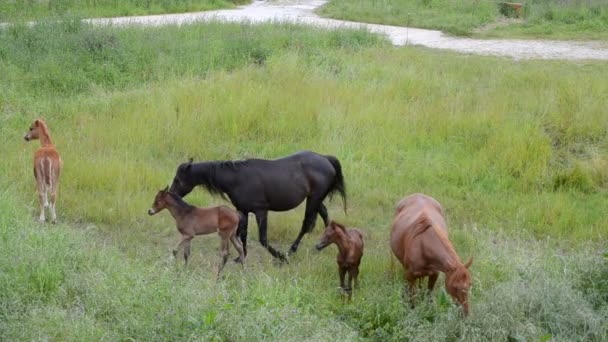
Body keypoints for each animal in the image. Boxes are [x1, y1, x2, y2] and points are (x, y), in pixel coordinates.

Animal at [169, 151, 344, 260]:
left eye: (178, 179)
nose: (171, 194)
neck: (237, 179)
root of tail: (325, 159)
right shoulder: (243, 211)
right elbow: (242, 234)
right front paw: (241, 257)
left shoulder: (261, 211)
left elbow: (263, 239)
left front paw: (279, 257)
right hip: (316, 200)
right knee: (325, 215)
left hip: (313, 199)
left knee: (307, 224)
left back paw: (290, 252)